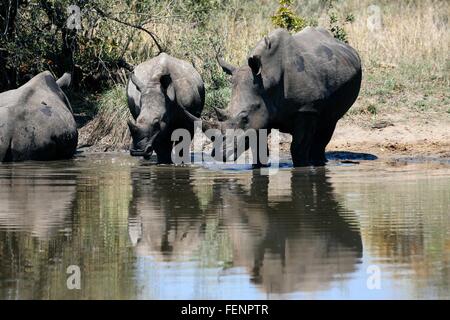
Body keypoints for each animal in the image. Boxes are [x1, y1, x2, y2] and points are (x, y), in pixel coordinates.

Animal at [183, 27, 362, 166]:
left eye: (244, 118)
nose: (219, 155)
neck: (267, 79)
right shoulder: (262, 113)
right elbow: (259, 148)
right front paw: (259, 167)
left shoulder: (307, 109)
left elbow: (298, 147)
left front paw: (302, 166)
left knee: (330, 121)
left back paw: (318, 162)